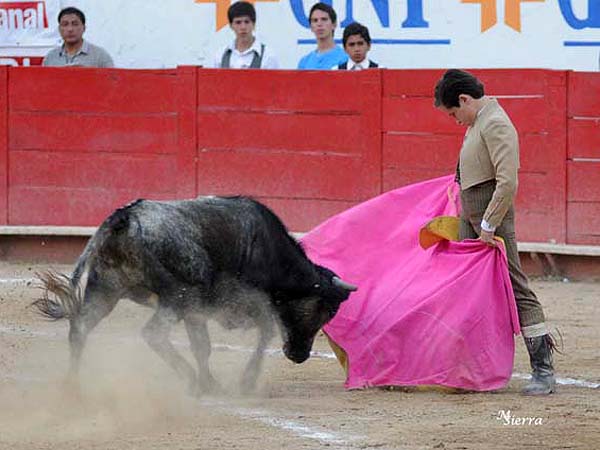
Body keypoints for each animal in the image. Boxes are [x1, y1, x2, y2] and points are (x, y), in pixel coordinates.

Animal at [35, 197, 356, 394]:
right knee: (153, 333)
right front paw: (244, 382)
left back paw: (72, 385)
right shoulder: (241, 303)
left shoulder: (197, 312)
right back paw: (189, 380)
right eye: (325, 310)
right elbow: (265, 332)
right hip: (176, 297)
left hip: (105, 289)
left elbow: (203, 346)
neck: (269, 251)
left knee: (80, 328)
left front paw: (211, 382)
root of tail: (123, 219)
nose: (300, 356)